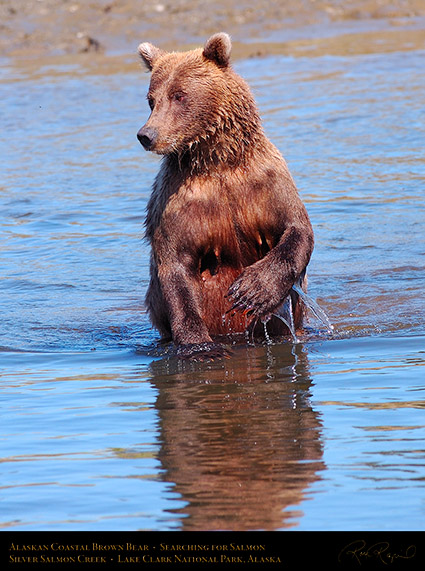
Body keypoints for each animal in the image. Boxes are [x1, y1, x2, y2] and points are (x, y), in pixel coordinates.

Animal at [137, 33, 314, 360]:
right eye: (151, 99)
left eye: (179, 95)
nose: (147, 134)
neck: (218, 161)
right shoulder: (179, 202)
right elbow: (175, 267)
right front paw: (201, 347)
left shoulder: (265, 182)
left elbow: (296, 229)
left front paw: (253, 290)